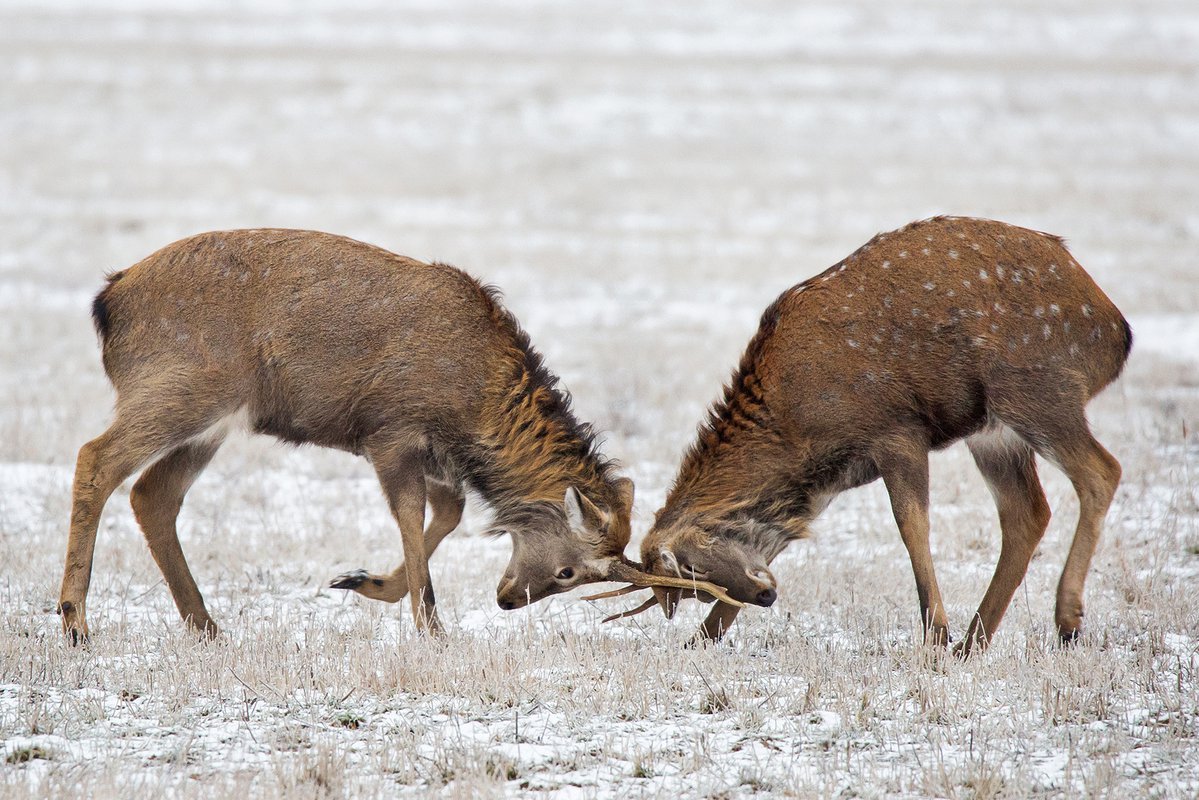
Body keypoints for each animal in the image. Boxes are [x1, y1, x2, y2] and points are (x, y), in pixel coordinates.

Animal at [58, 227, 738, 642]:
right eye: (572, 572)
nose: (509, 599)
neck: (475, 405)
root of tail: (108, 303)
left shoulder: (440, 460)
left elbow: (450, 516)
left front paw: (364, 583)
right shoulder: (390, 431)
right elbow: (413, 518)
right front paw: (431, 627)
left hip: (215, 418)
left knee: (153, 494)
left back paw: (206, 626)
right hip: (179, 388)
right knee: (96, 458)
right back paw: (75, 621)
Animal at [604, 215, 1127, 652]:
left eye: (692, 568)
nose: (765, 596)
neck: (799, 427)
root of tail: (1116, 328)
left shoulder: (896, 430)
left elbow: (911, 524)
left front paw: (935, 633)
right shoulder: (822, 482)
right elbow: (774, 542)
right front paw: (701, 640)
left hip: (1038, 389)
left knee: (1103, 470)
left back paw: (1065, 621)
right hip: (994, 430)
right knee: (1028, 511)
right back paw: (975, 641)